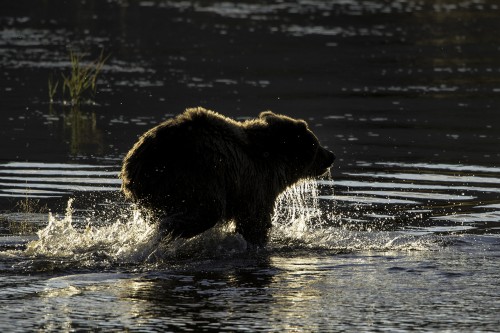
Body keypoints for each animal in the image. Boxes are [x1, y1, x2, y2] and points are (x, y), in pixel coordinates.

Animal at [119, 107, 334, 245]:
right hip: (194, 175)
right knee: (207, 211)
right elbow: (254, 222)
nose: (331, 156)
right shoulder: (255, 185)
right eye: (317, 145)